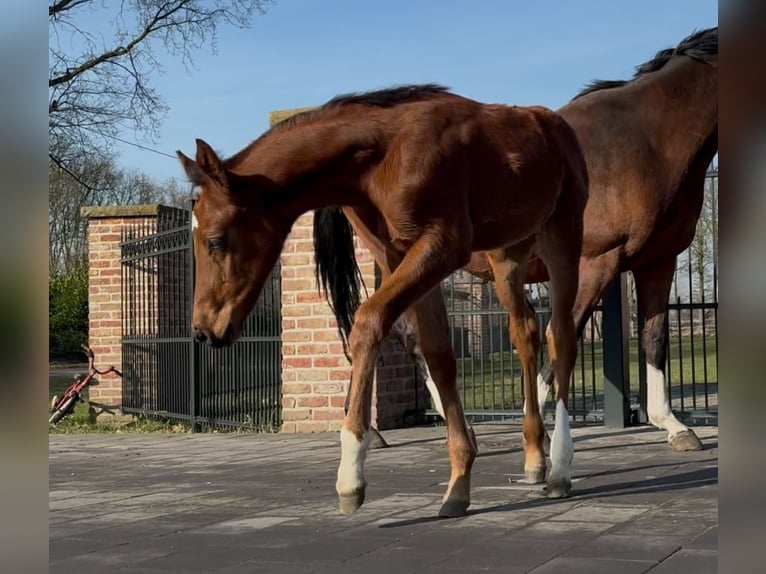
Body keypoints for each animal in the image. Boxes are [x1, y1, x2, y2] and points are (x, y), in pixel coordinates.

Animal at [180, 85, 588, 516]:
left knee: (561, 334)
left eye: (215, 240)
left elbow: (369, 320)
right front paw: (459, 482)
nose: (203, 330)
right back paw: (534, 457)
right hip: (508, 251)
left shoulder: (444, 244)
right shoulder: (401, 253)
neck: (382, 157)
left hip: (562, 231)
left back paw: (560, 468)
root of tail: (556, 124)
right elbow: (438, 354)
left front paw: (350, 474)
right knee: (524, 330)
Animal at [314, 28, 720, 460]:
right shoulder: (598, 261)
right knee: (402, 331)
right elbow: (564, 332)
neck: (646, 140)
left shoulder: (658, 261)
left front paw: (674, 426)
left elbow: (654, 338)